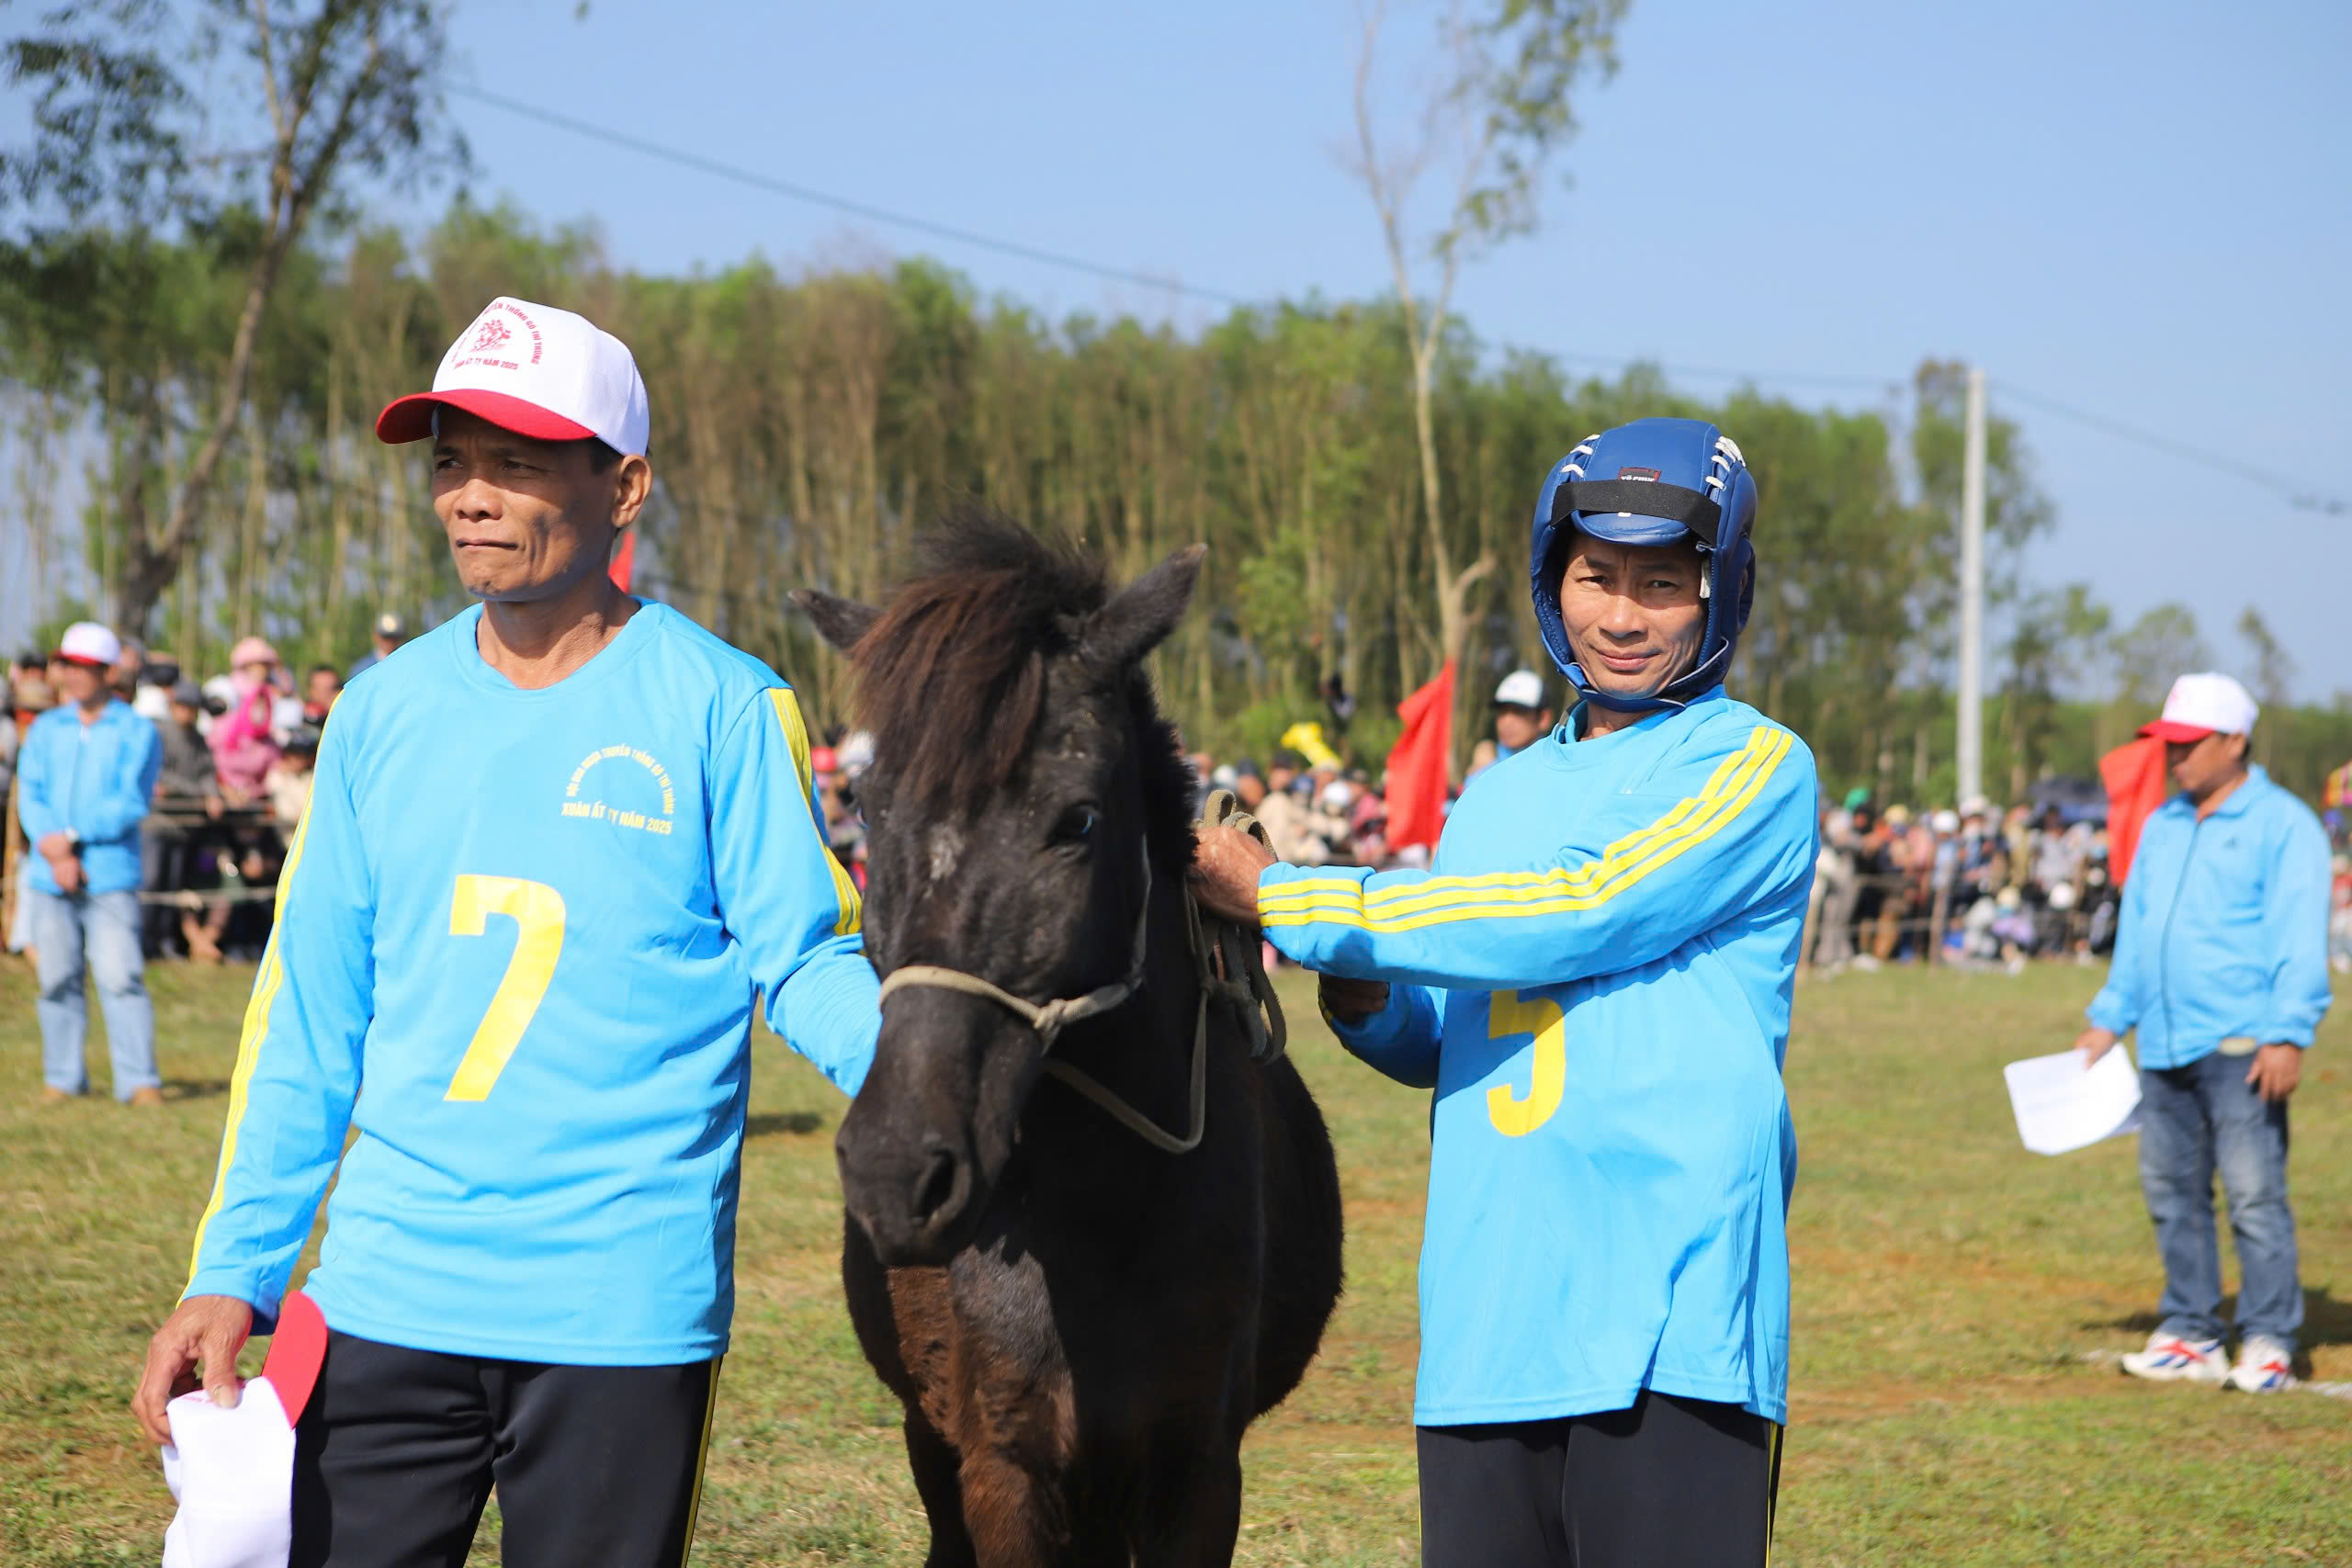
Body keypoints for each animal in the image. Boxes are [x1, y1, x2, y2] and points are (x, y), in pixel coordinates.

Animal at [795, 510, 1336, 1561]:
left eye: (1077, 819)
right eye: (869, 809)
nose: (895, 1167)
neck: (1104, 1212)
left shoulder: (1196, 1469)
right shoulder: (1004, 1465)